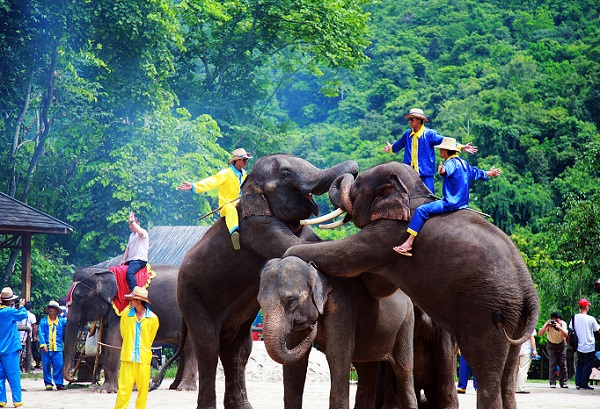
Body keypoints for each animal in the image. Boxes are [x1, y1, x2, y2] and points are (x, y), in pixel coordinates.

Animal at [64, 262, 198, 390]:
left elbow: (113, 339)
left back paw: (184, 388)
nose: (72, 375)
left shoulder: (120, 308)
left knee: (189, 348)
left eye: (79, 298)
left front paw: (105, 390)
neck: (104, 271)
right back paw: (174, 386)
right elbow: (106, 340)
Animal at [171, 154, 358, 408]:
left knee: (238, 351)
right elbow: (293, 247)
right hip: (191, 297)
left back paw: (242, 406)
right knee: (208, 347)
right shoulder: (258, 228)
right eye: (286, 174)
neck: (249, 188)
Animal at [256, 255, 418, 408]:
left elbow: (337, 353)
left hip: (407, 322)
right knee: (366, 370)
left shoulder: (341, 305)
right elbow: (295, 362)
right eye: (259, 302)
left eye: (291, 301)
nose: (311, 326)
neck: (315, 271)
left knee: (403, 369)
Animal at [284, 160, 540, 408]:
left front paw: (288, 255)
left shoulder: (389, 234)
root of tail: (530, 294)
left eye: (357, 186)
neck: (413, 190)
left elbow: (345, 257)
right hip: (514, 319)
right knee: (507, 375)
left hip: (487, 315)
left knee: (486, 371)